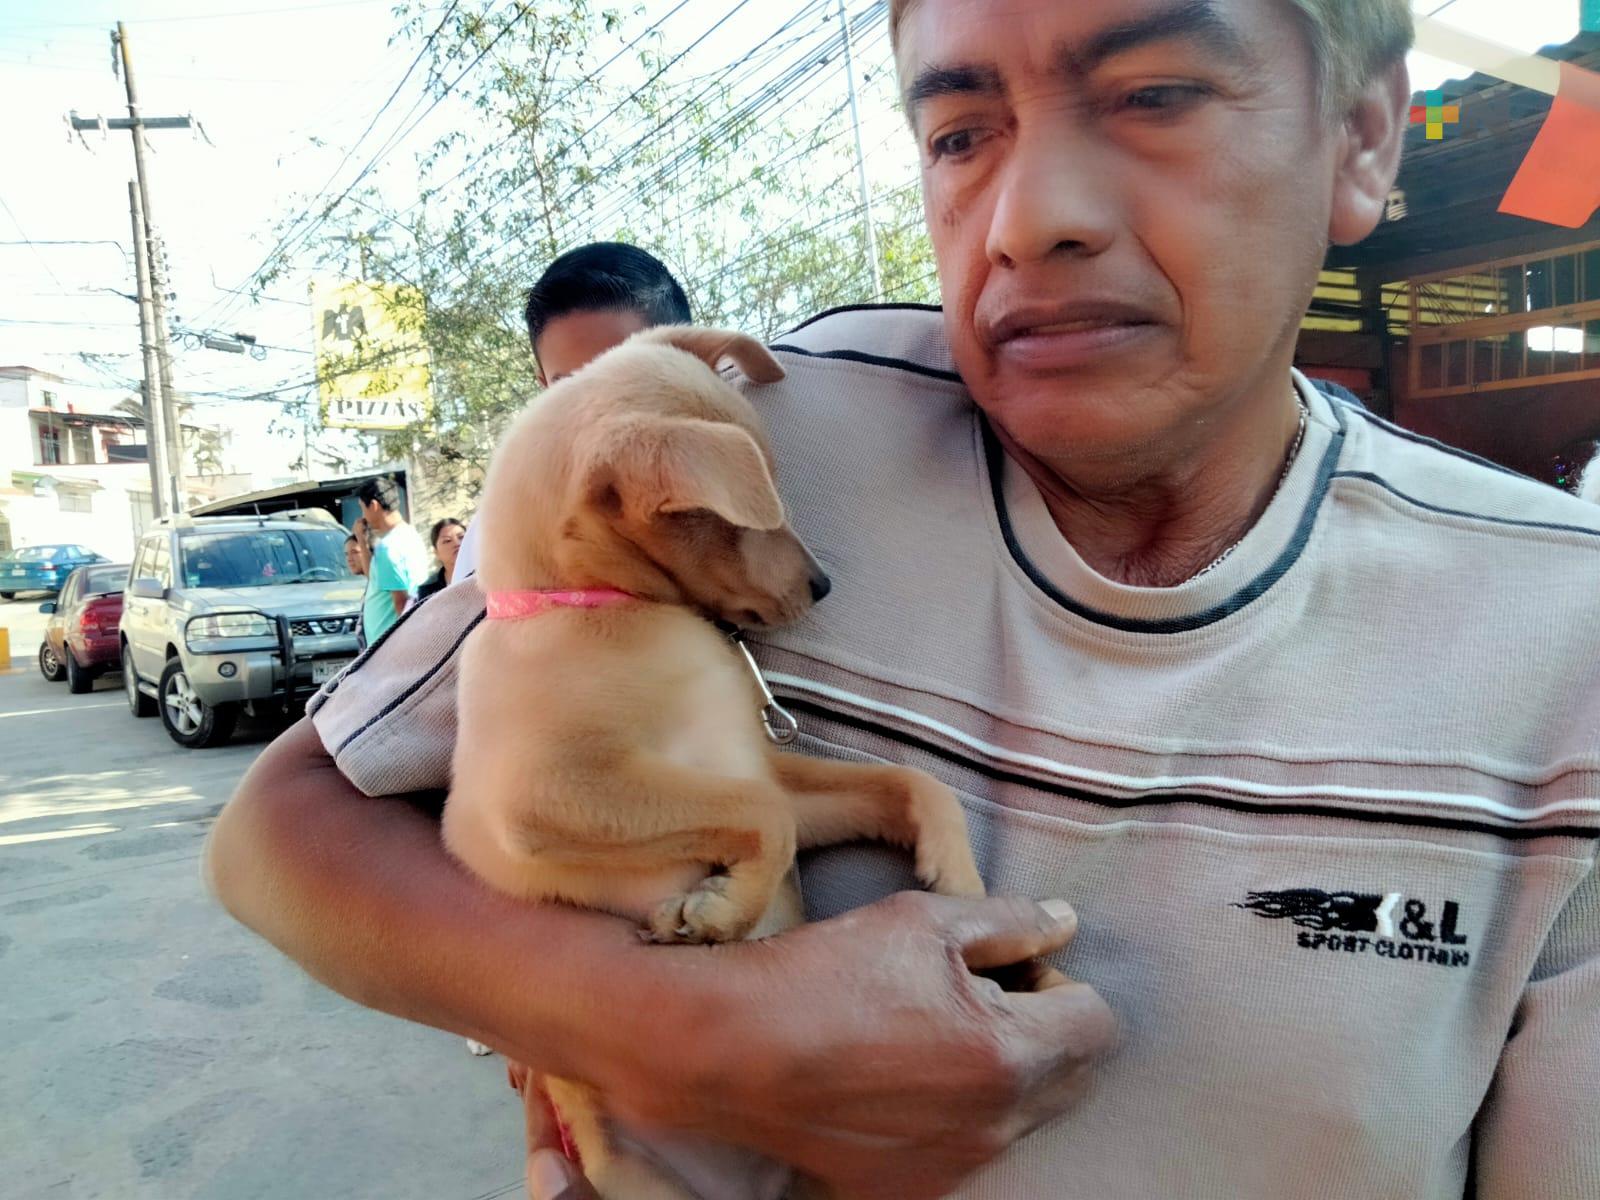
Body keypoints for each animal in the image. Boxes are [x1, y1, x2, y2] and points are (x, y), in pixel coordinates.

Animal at [441, 326, 985, 1200]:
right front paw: (719, 916)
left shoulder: (757, 766)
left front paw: (958, 879)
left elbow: (902, 783)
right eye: (729, 515)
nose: (821, 585)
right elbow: (757, 818)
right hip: (629, 1172)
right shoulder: (553, 794)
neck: (603, 609)